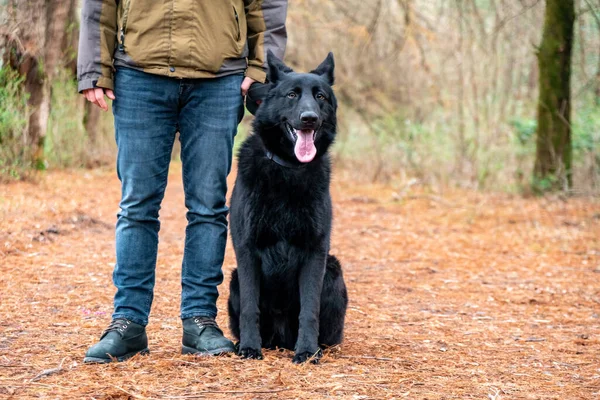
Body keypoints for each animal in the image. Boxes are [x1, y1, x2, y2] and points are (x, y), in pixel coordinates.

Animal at [226, 51, 346, 364]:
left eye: (320, 97)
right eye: (292, 95)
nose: (309, 118)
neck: (289, 169)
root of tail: (281, 338)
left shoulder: (315, 251)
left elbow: (309, 309)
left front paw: (307, 351)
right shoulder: (247, 250)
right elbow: (250, 307)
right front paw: (249, 348)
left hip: (333, 270)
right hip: (234, 280)